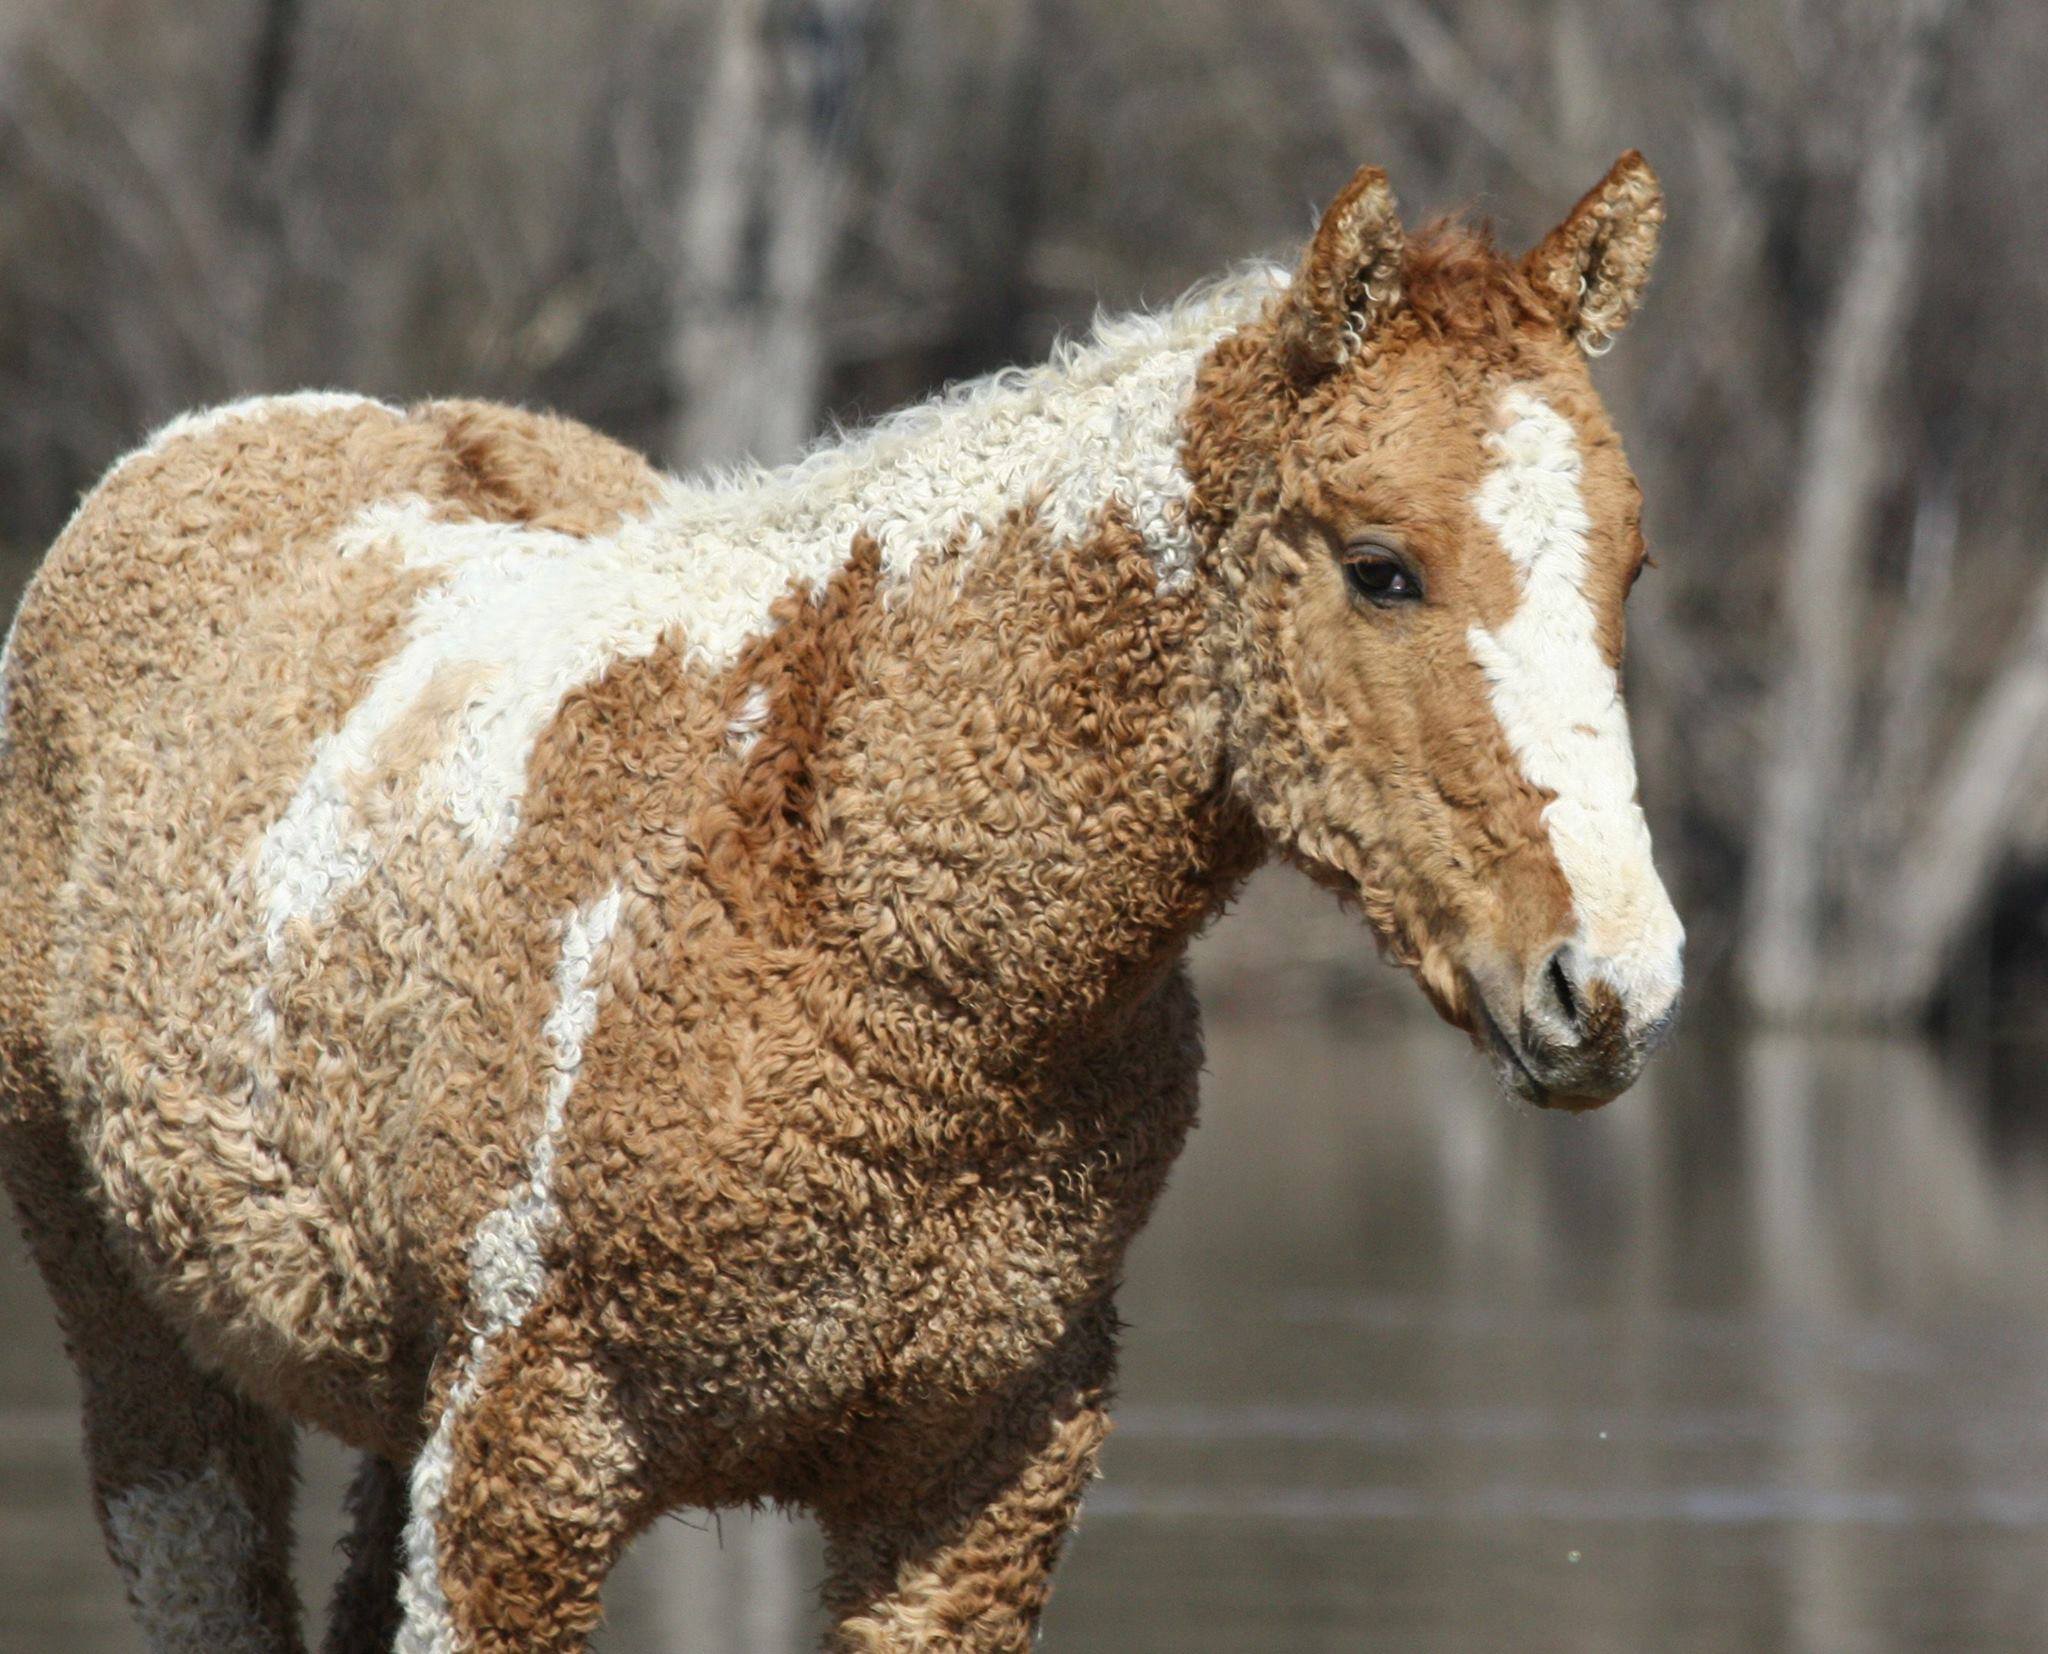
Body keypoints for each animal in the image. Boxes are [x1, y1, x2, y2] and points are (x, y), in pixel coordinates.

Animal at [0, 151, 1679, 1637]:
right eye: (1382, 565)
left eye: (1631, 571)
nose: (1611, 984)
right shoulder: (520, 1464)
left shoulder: (977, 1480)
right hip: (150, 1363)